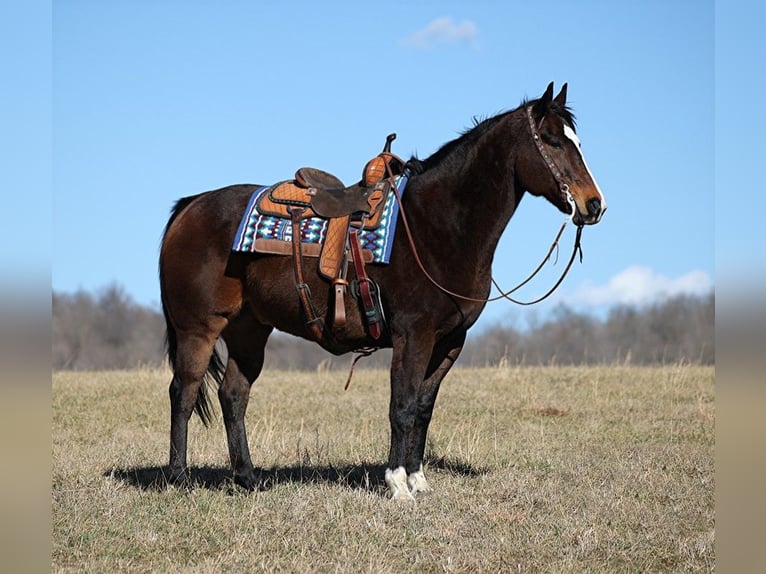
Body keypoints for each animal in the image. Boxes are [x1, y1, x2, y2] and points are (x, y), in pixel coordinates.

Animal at [160, 83, 608, 502]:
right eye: (552, 139)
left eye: (578, 141)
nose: (594, 204)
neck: (436, 226)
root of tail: (190, 206)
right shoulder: (413, 335)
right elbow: (402, 406)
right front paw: (397, 484)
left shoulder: (450, 341)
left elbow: (424, 409)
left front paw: (418, 480)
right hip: (198, 328)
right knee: (183, 392)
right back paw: (179, 479)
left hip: (249, 330)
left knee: (233, 395)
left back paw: (248, 479)